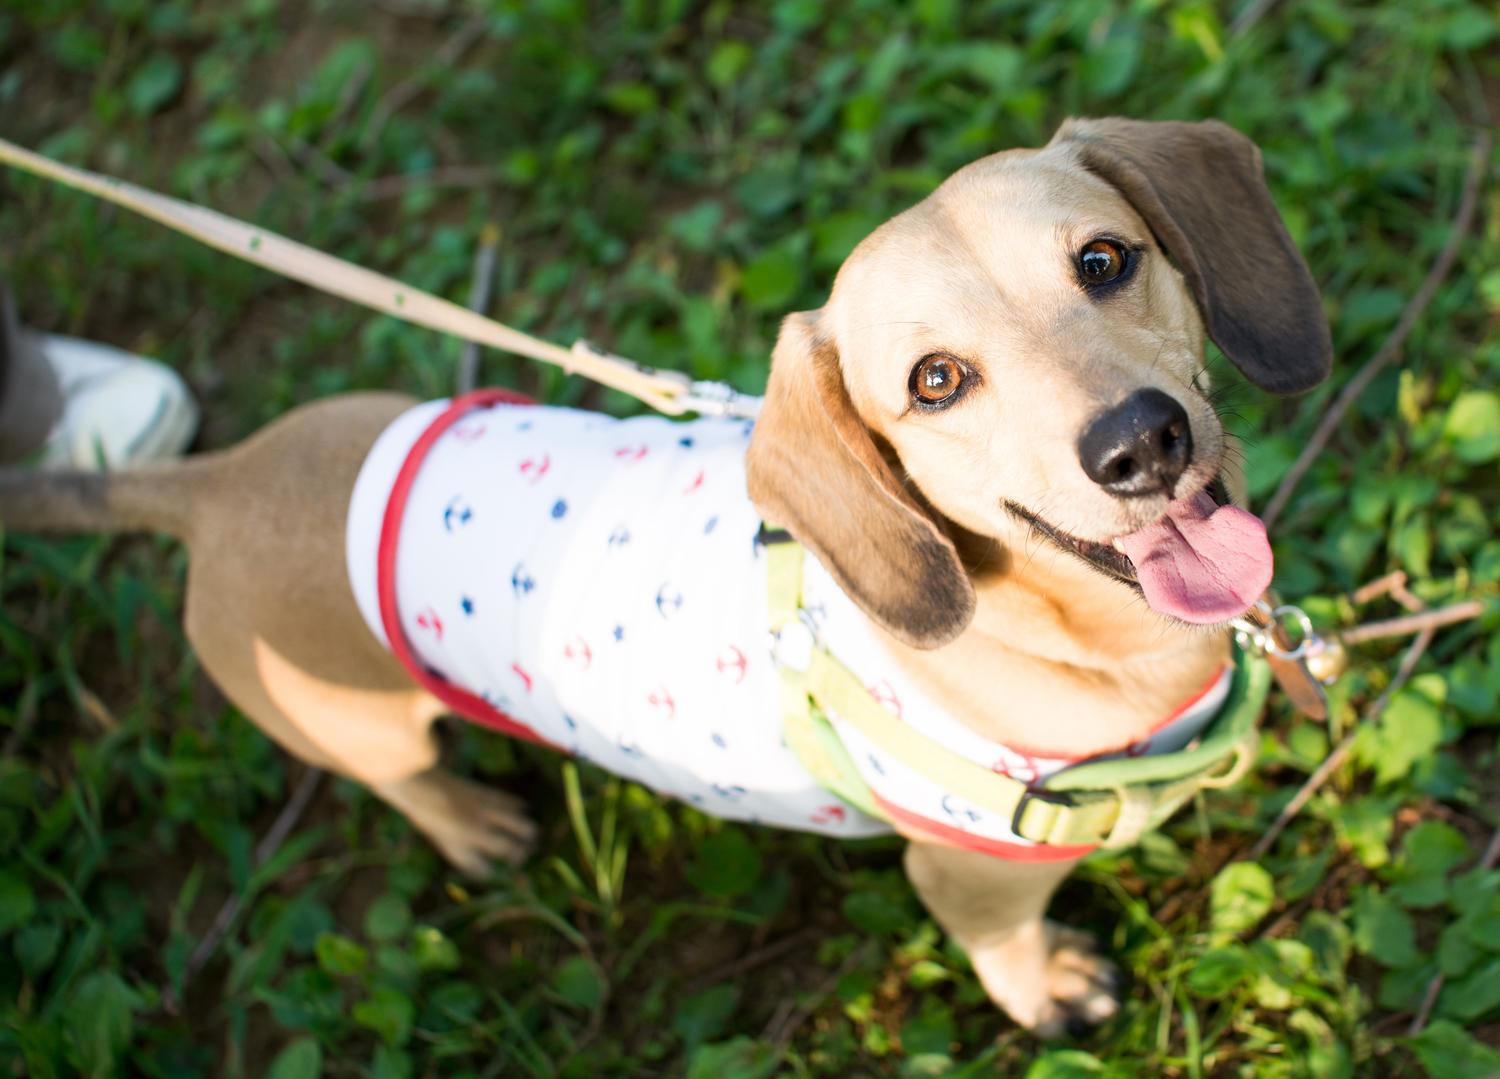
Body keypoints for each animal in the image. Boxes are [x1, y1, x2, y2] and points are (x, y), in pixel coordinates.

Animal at [2, 118, 1338, 1038]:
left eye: (1104, 260)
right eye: (937, 382)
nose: (1142, 442)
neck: (1065, 627)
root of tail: (219, 481)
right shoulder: (964, 869)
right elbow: (1006, 940)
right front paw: (1048, 986)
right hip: (359, 726)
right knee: (403, 777)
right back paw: (473, 819)